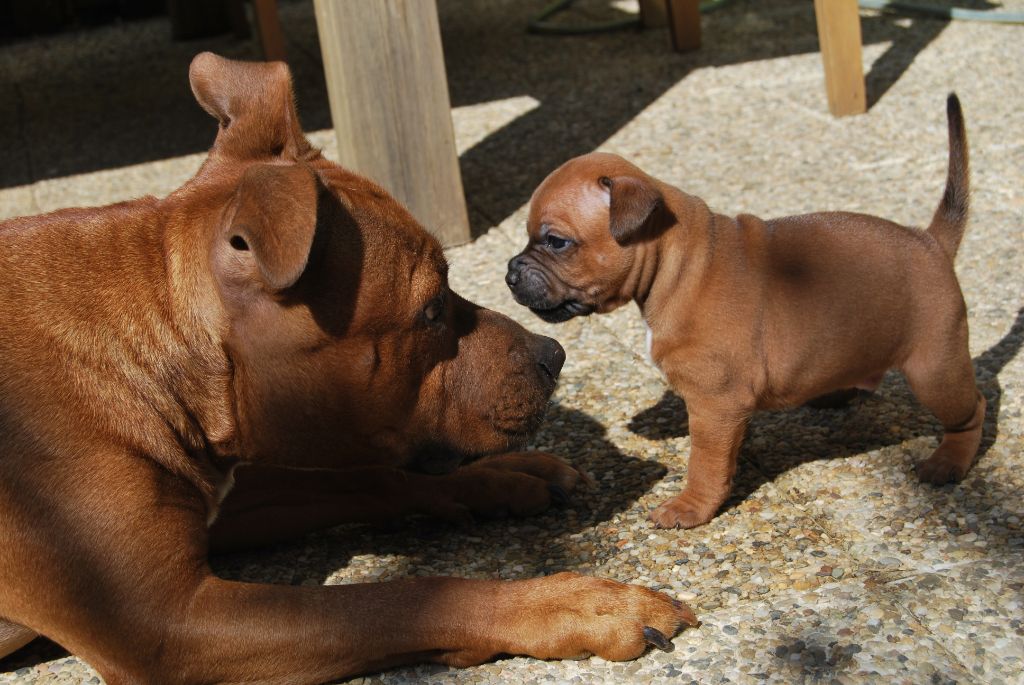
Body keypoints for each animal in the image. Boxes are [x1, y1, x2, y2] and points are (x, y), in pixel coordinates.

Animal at [0, 54, 696, 683]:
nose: (555, 355)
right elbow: (407, 597)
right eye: (431, 308)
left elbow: (366, 476)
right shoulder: (167, 625)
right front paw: (574, 602)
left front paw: (500, 476)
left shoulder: (222, 510)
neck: (157, 349)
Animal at [507, 92, 987, 528]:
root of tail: (930, 241)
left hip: (935, 371)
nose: (510, 272)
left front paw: (690, 507)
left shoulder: (715, 404)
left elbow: (706, 462)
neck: (680, 266)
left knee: (973, 408)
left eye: (556, 242)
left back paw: (948, 461)